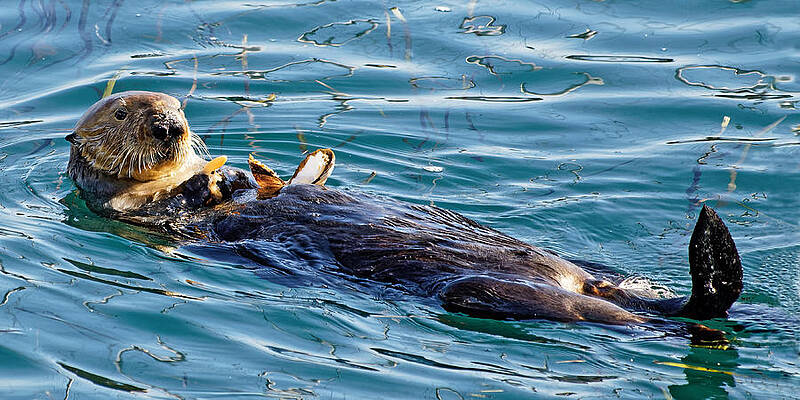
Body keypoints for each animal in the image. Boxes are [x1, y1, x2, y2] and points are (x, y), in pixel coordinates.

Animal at [66, 91, 743, 324]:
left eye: (178, 105)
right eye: (124, 113)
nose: (171, 125)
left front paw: (241, 174)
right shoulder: (144, 218)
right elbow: (178, 209)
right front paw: (211, 185)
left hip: (593, 273)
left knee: (622, 291)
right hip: (482, 292)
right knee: (626, 314)